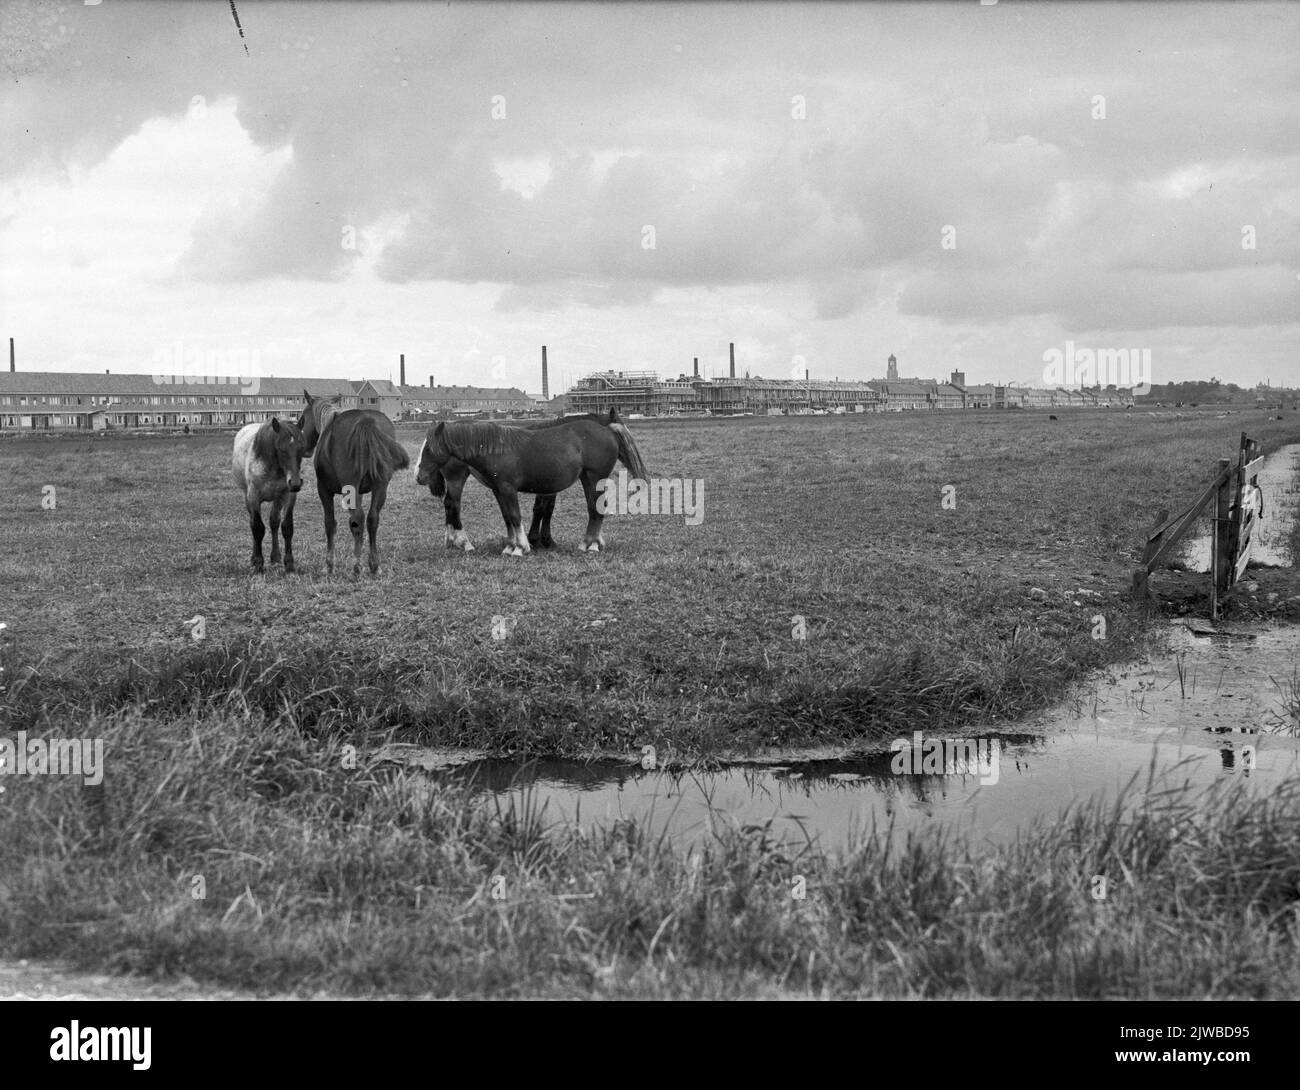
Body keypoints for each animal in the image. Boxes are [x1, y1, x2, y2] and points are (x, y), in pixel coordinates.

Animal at [232, 417, 307, 573]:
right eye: (280, 448)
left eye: (302, 448)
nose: (295, 483)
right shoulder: (253, 497)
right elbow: (257, 528)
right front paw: (258, 563)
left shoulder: (288, 496)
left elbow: (287, 527)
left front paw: (289, 564)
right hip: (247, 496)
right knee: (253, 523)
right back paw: (254, 558)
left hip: (277, 499)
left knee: (274, 523)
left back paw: (275, 557)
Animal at [297, 390, 410, 575]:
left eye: (302, 418)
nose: (305, 448)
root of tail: (366, 421)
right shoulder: (361, 492)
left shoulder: (324, 490)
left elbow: (330, 523)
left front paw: (329, 565)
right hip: (380, 487)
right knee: (372, 519)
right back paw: (374, 565)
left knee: (358, 518)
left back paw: (356, 567)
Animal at [414, 409, 648, 555]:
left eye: (430, 449)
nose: (418, 476)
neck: (495, 448)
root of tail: (606, 431)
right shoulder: (501, 490)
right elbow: (510, 517)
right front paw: (515, 546)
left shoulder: (510, 489)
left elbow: (522, 515)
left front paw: (522, 547)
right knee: (451, 505)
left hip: (593, 477)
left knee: (595, 508)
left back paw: (592, 545)